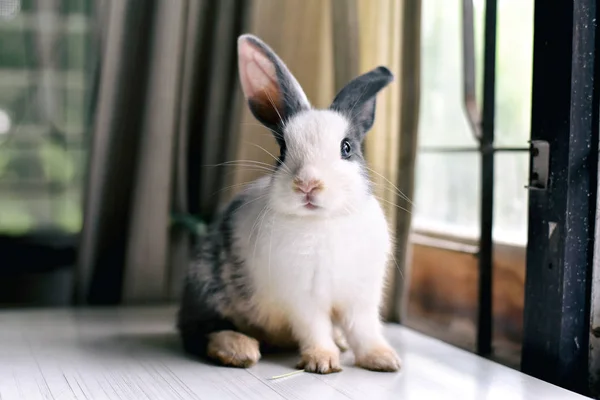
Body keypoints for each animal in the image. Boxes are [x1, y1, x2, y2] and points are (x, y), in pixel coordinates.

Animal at [179, 32, 404, 374]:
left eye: (347, 147)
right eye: (283, 150)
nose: (307, 184)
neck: (323, 222)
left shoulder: (360, 297)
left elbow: (364, 329)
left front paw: (384, 360)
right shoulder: (303, 298)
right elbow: (315, 328)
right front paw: (322, 361)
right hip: (207, 287)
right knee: (200, 330)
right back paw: (239, 349)